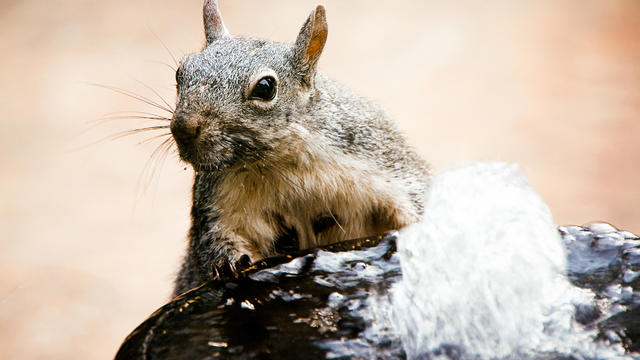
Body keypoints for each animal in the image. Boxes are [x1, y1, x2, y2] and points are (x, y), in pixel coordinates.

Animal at [170, 0, 430, 296]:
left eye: (265, 87)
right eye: (180, 72)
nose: (183, 127)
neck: (281, 161)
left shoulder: (383, 162)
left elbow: (413, 203)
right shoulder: (218, 201)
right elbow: (215, 238)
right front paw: (227, 263)